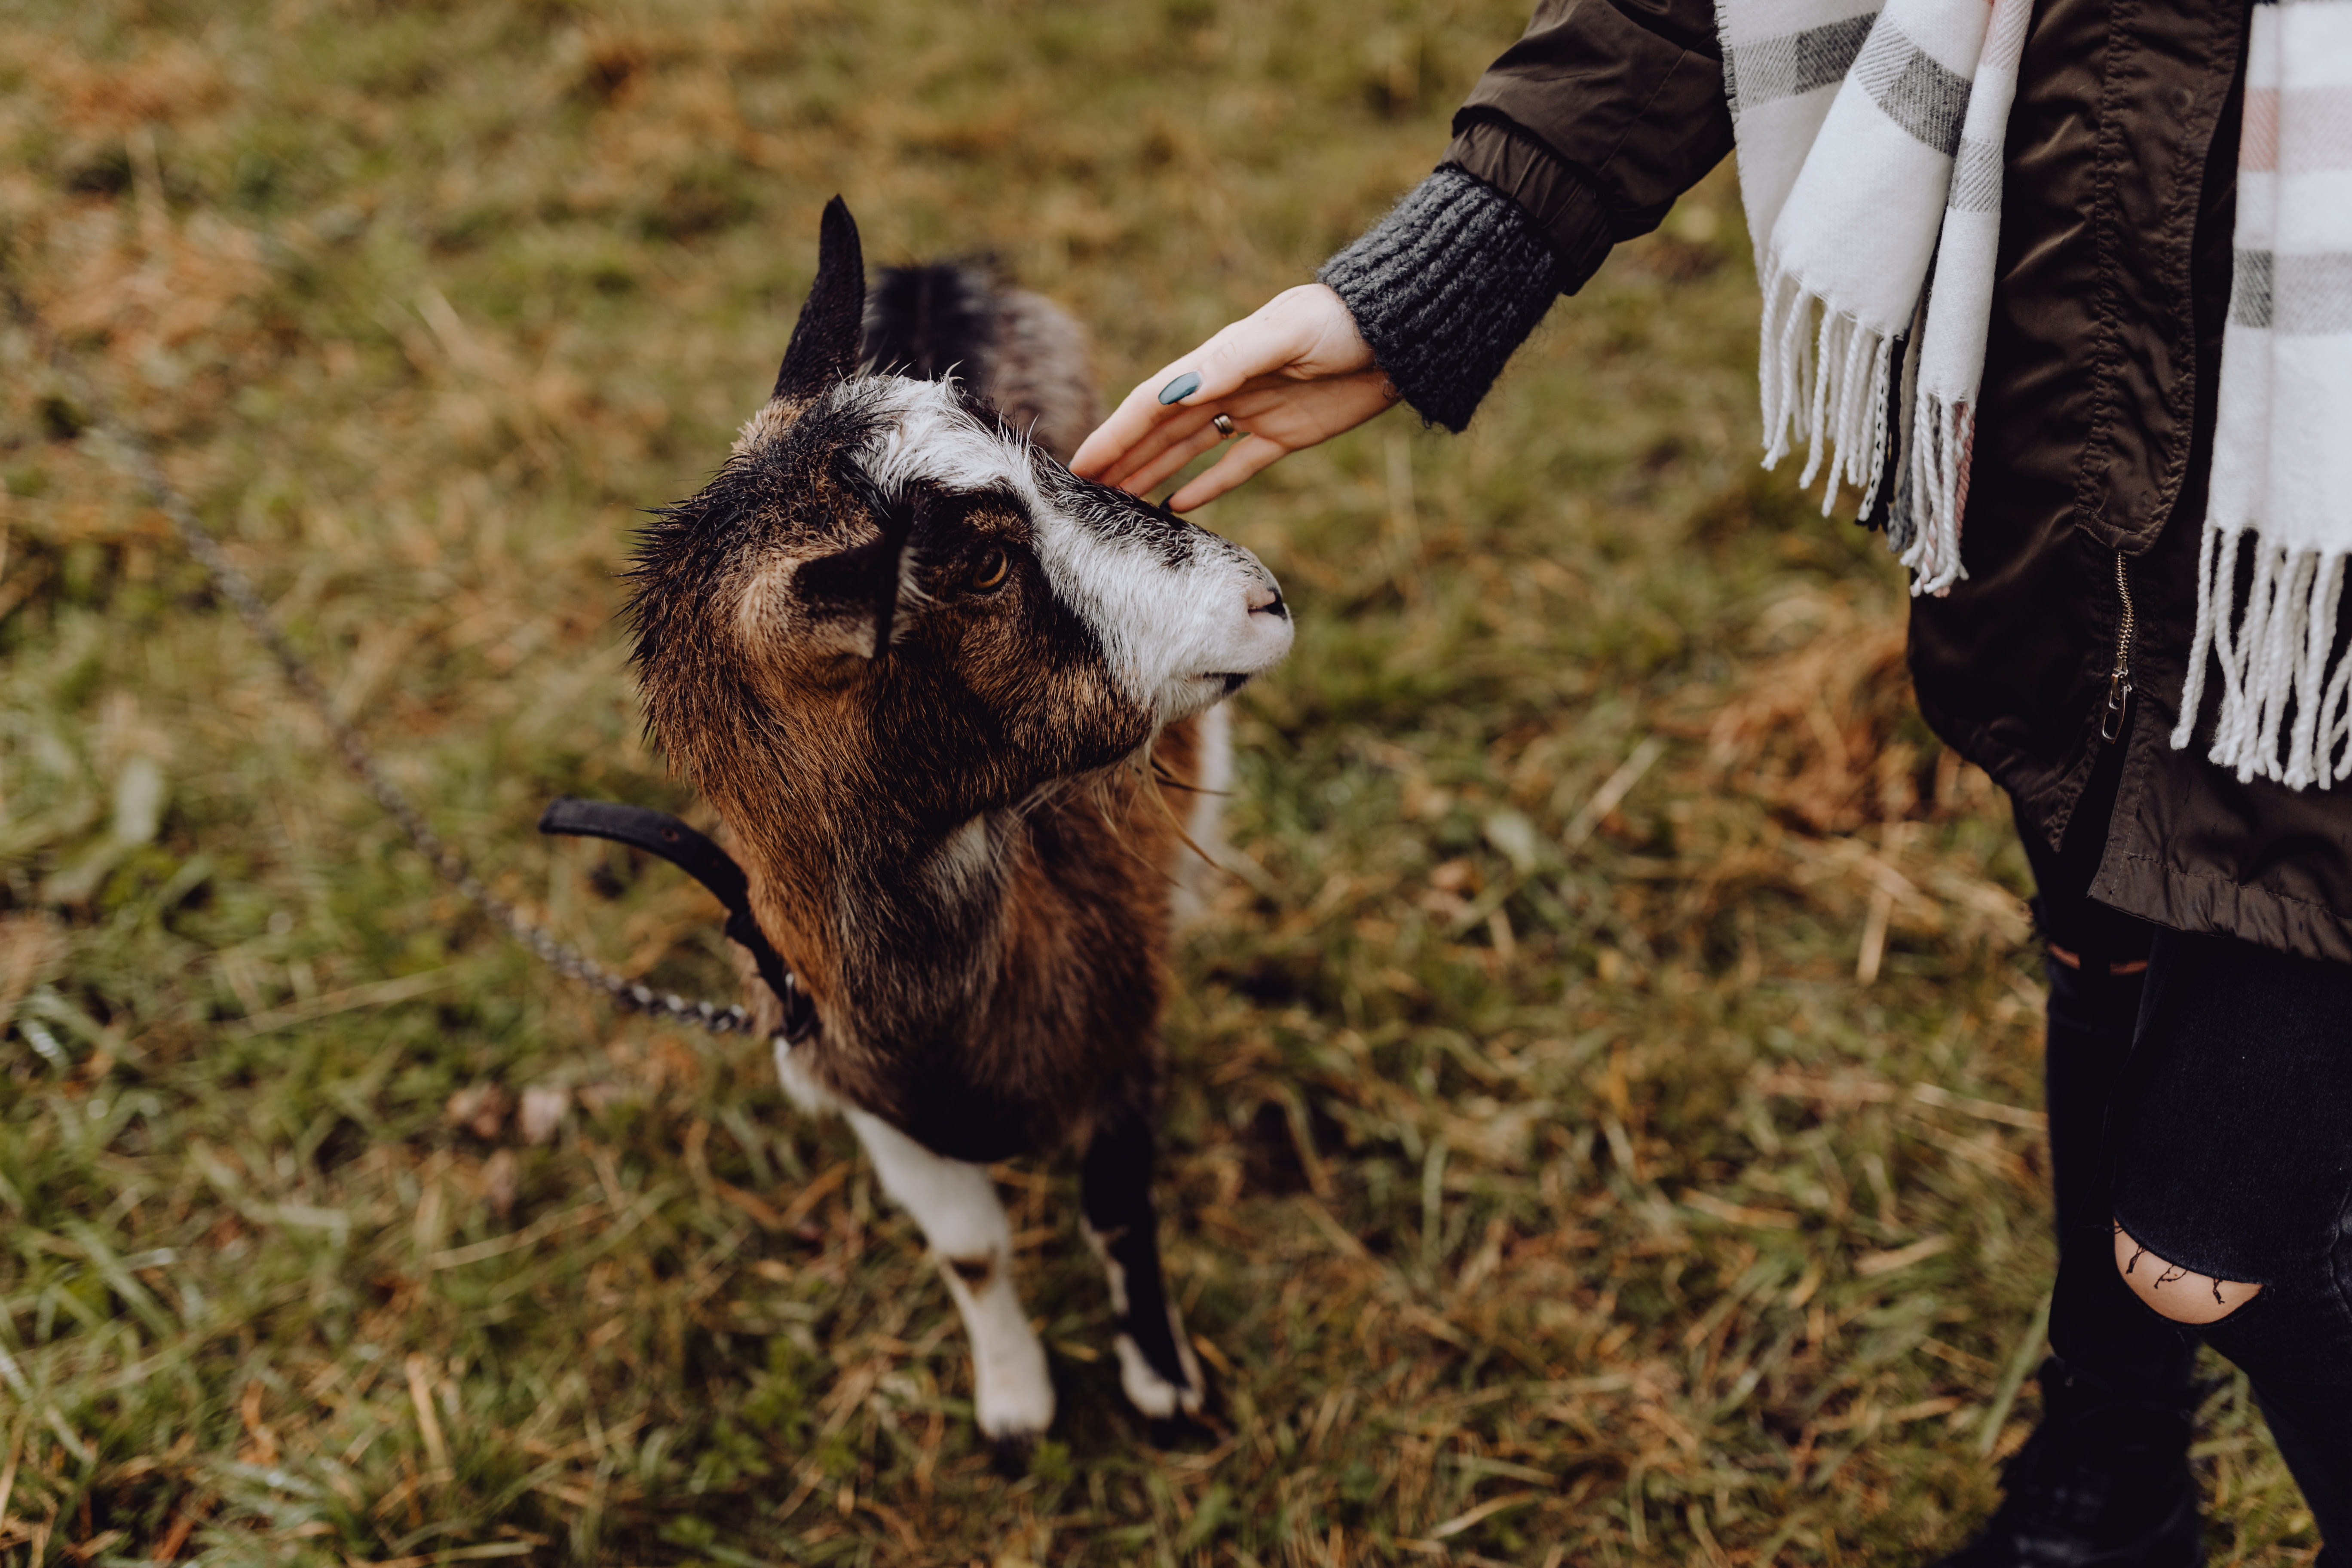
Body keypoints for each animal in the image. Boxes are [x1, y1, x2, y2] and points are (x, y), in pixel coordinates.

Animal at [626, 198, 1293, 1457]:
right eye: (981, 563)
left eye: (1037, 468)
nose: (1264, 601)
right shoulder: (869, 1102)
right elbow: (973, 1253)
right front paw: (1016, 1406)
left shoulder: (1122, 1028)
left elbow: (1119, 1213)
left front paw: (1163, 1385)